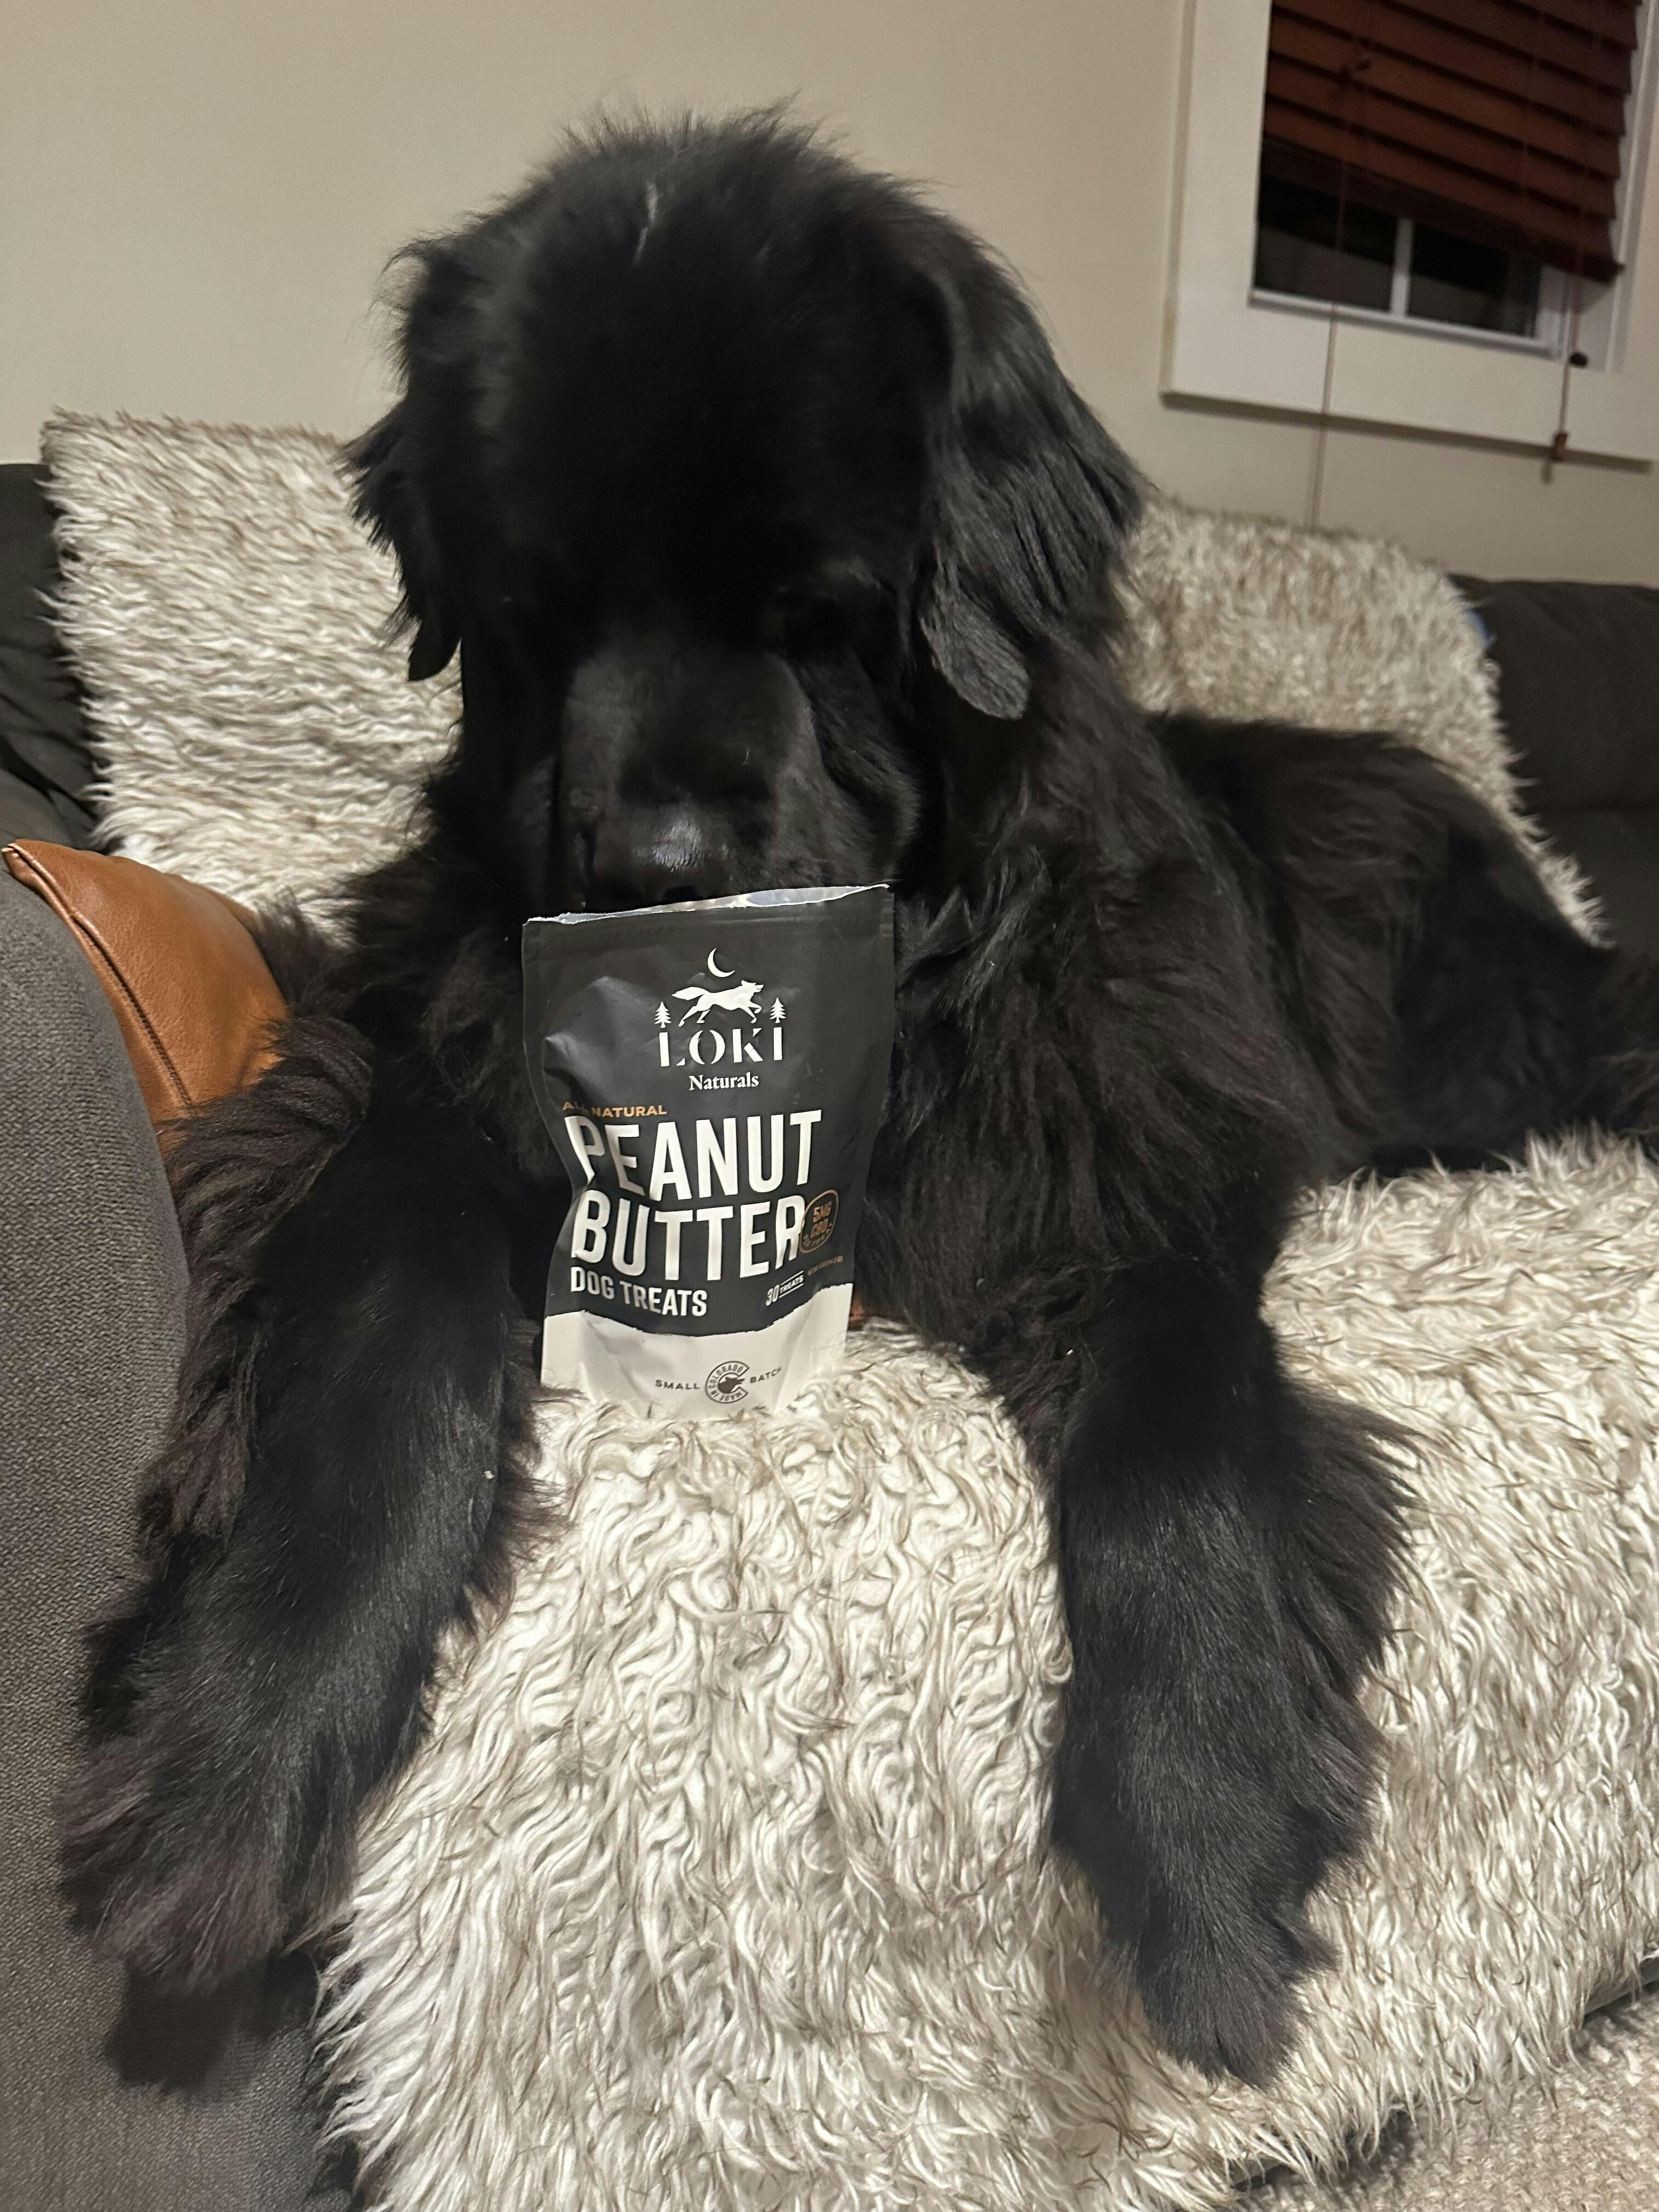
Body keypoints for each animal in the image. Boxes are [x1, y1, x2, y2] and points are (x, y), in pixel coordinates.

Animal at [60, 111, 1659, 2088]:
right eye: (531, 616)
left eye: (814, 614)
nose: (656, 868)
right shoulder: (433, 1099)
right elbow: (369, 1372)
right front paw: (231, 1750)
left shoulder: (1123, 1169)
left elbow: (1178, 1446)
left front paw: (1210, 1847)